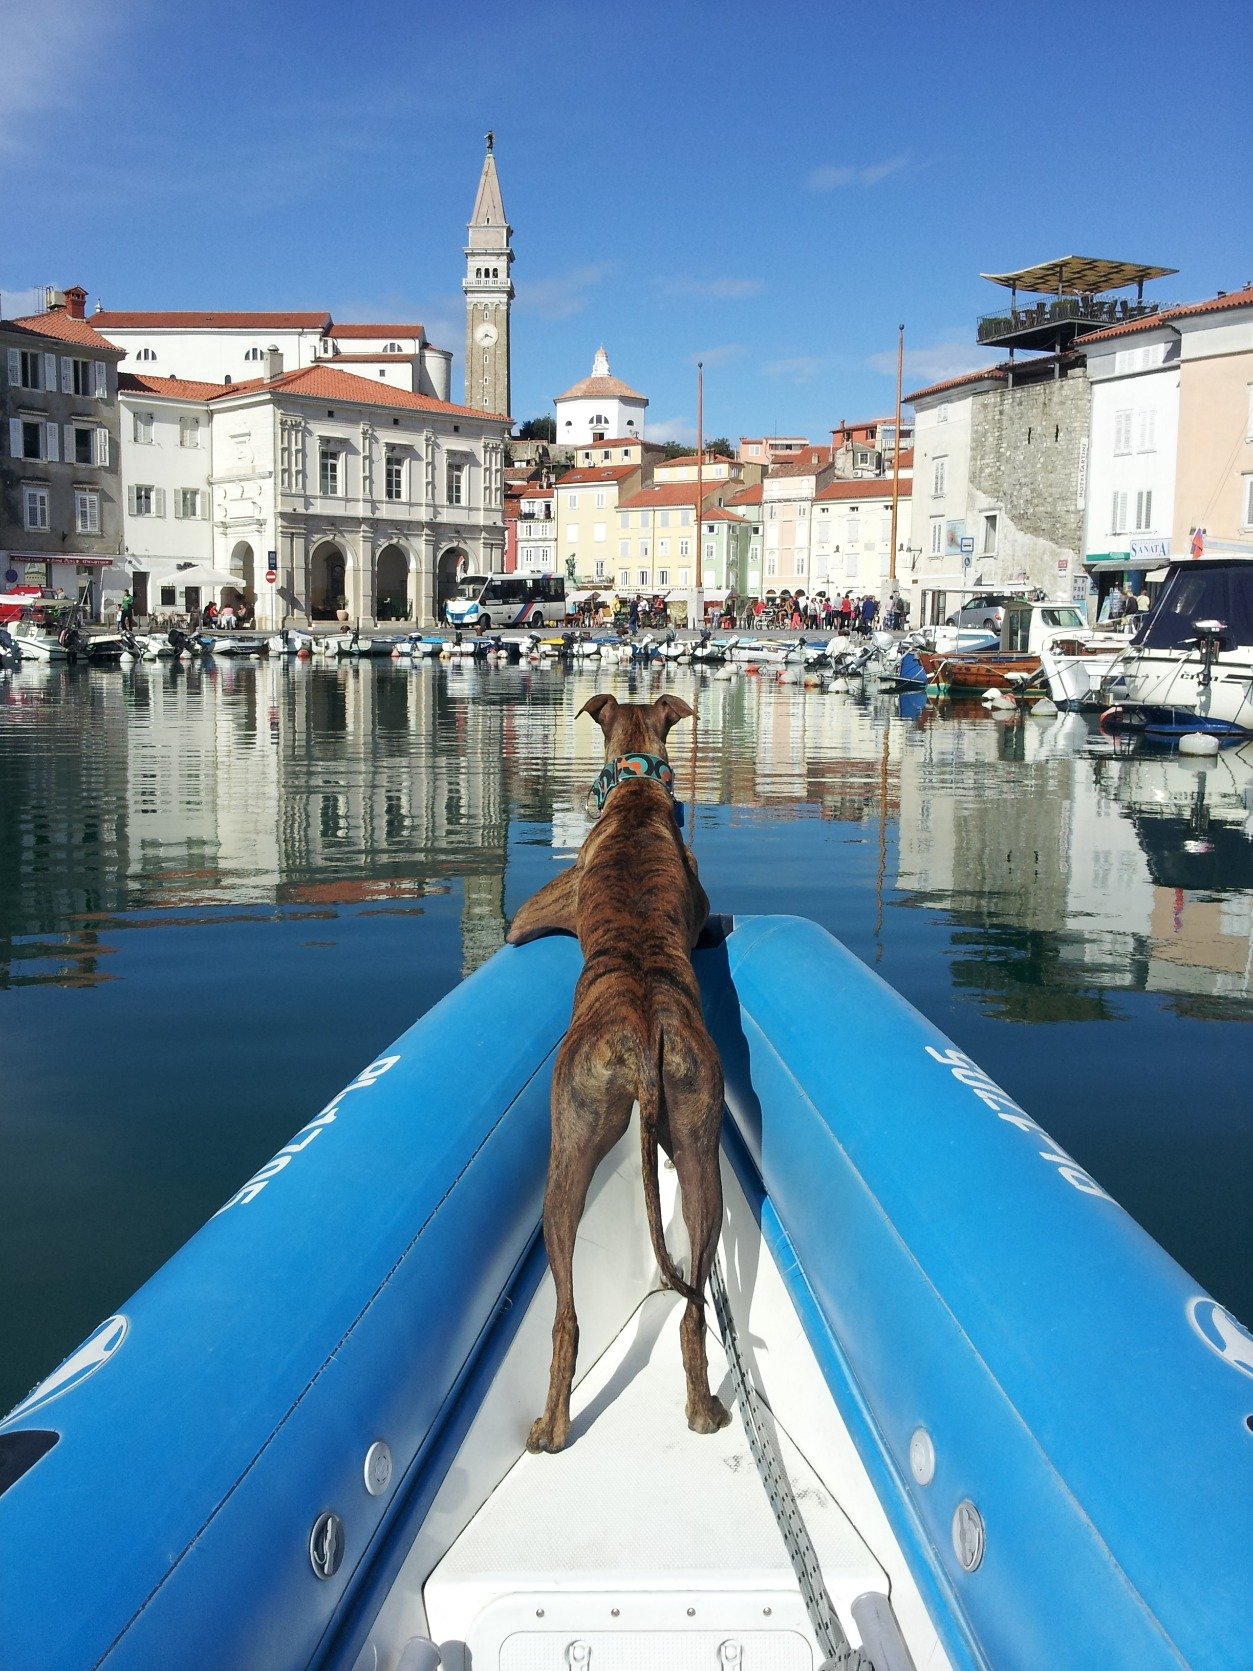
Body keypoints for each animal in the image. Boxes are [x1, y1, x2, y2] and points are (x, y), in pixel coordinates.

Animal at [504, 691, 731, 1450]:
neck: (634, 789)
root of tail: (639, 1025)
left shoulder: (537, 907)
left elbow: (515, 924)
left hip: (566, 1145)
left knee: (566, 1317)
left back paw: (550, 1425)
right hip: (698, 1136)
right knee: (692, 1307)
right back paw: (702, 1408)